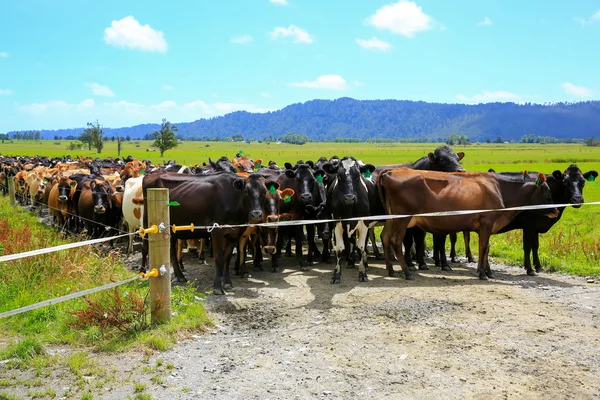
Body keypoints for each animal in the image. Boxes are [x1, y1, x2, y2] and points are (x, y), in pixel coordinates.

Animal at [378, 169, 556, 282]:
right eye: (548, 192)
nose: (555, 210)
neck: (500, 190)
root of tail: (389, 171)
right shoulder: (487, 223)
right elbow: (483, 247)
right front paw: (483, 273)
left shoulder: (487, 227)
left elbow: (487, 249)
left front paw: (488, 272)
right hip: (402, 218)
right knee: (395, 240)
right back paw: (407, 272)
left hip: (391, 218)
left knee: (385, 237)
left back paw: (391, 271)